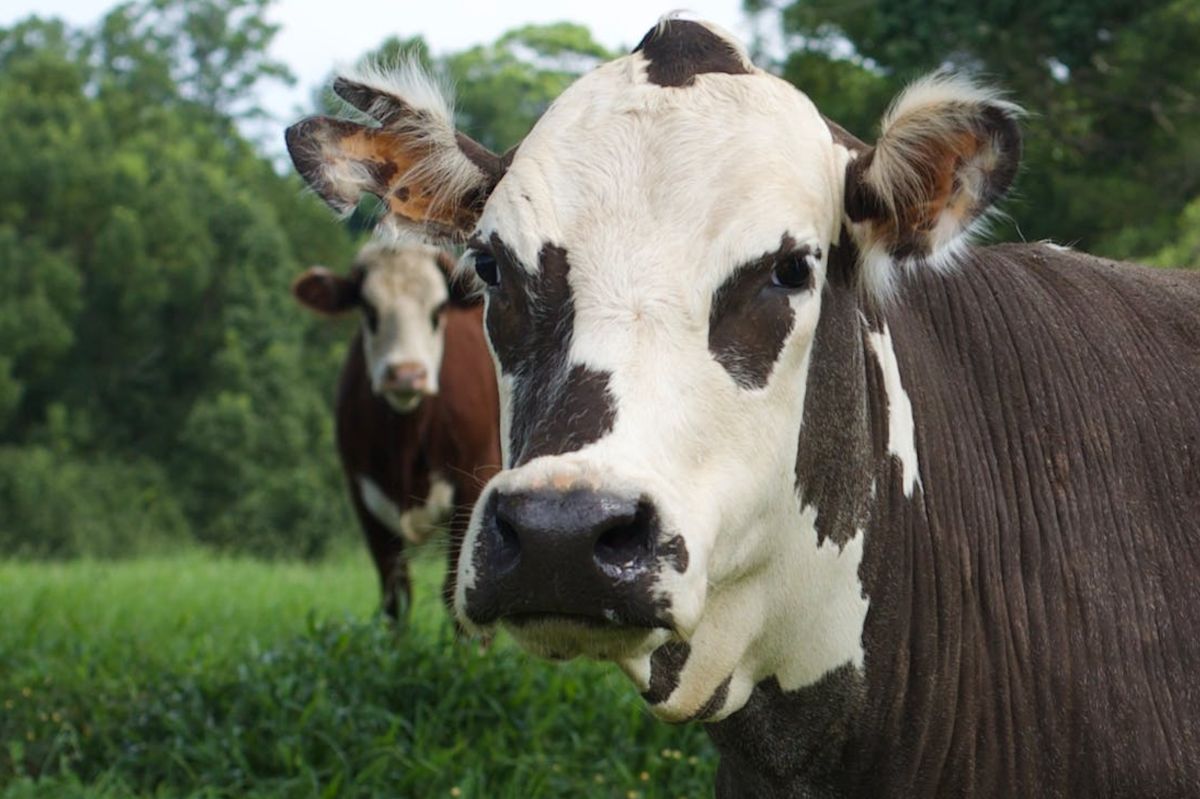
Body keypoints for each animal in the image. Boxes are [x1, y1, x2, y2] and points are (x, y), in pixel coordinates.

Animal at [295, 239, 501, 619]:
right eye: (368, 310)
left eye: (438, 310)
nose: (406, 374)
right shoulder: (363, 495)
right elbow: (396, 594)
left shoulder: (474, 482)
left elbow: (456, 593)